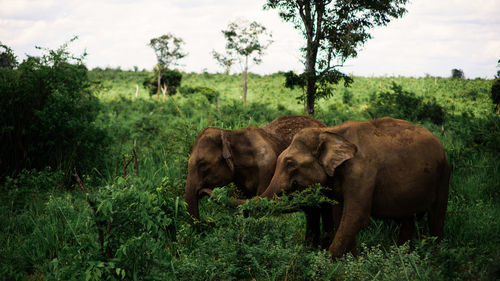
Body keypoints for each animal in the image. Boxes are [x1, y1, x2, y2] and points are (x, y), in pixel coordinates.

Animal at [260, 116, 452, 258]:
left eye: (290, 164)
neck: (331, 132)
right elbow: (340, 215)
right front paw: (353, 261)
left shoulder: (362, 172)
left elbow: (356, 216)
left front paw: (328, 265)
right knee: (407, 220)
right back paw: (402, 257)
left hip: (444, 175)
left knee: (436, 217)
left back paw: (435, 258)